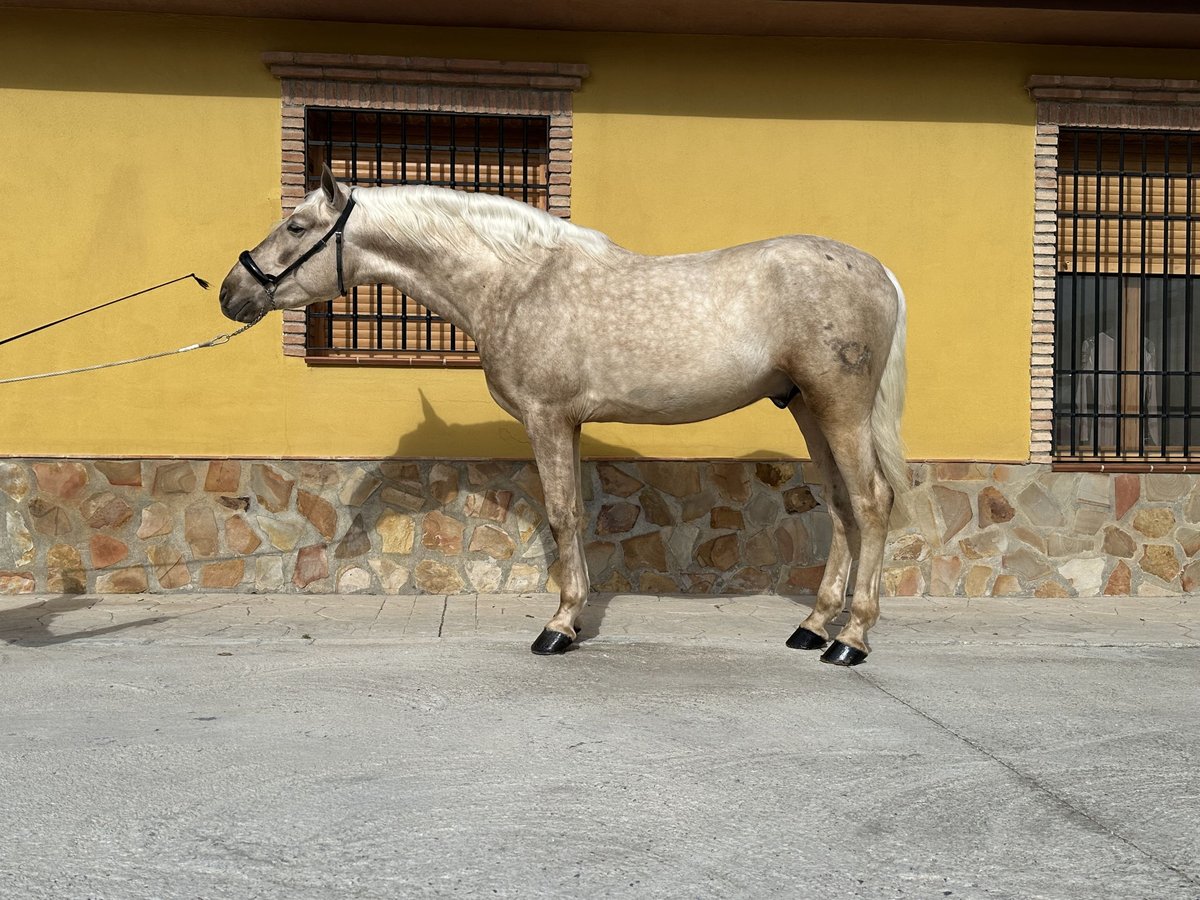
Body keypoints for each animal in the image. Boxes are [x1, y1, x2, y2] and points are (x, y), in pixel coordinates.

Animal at [220, 168, 902, 662]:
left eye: (296, 225)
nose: (232, 292)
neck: (516, 282)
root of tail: (878, 270)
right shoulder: (567, 422)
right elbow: (571, 512)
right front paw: (572, 616)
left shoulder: (546, 417)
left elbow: (561, 513)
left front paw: (560, 626)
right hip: (808, 408)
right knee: (841, 508)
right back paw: (813, 626)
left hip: (838, 407)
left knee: (871, 502)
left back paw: (850, 641)